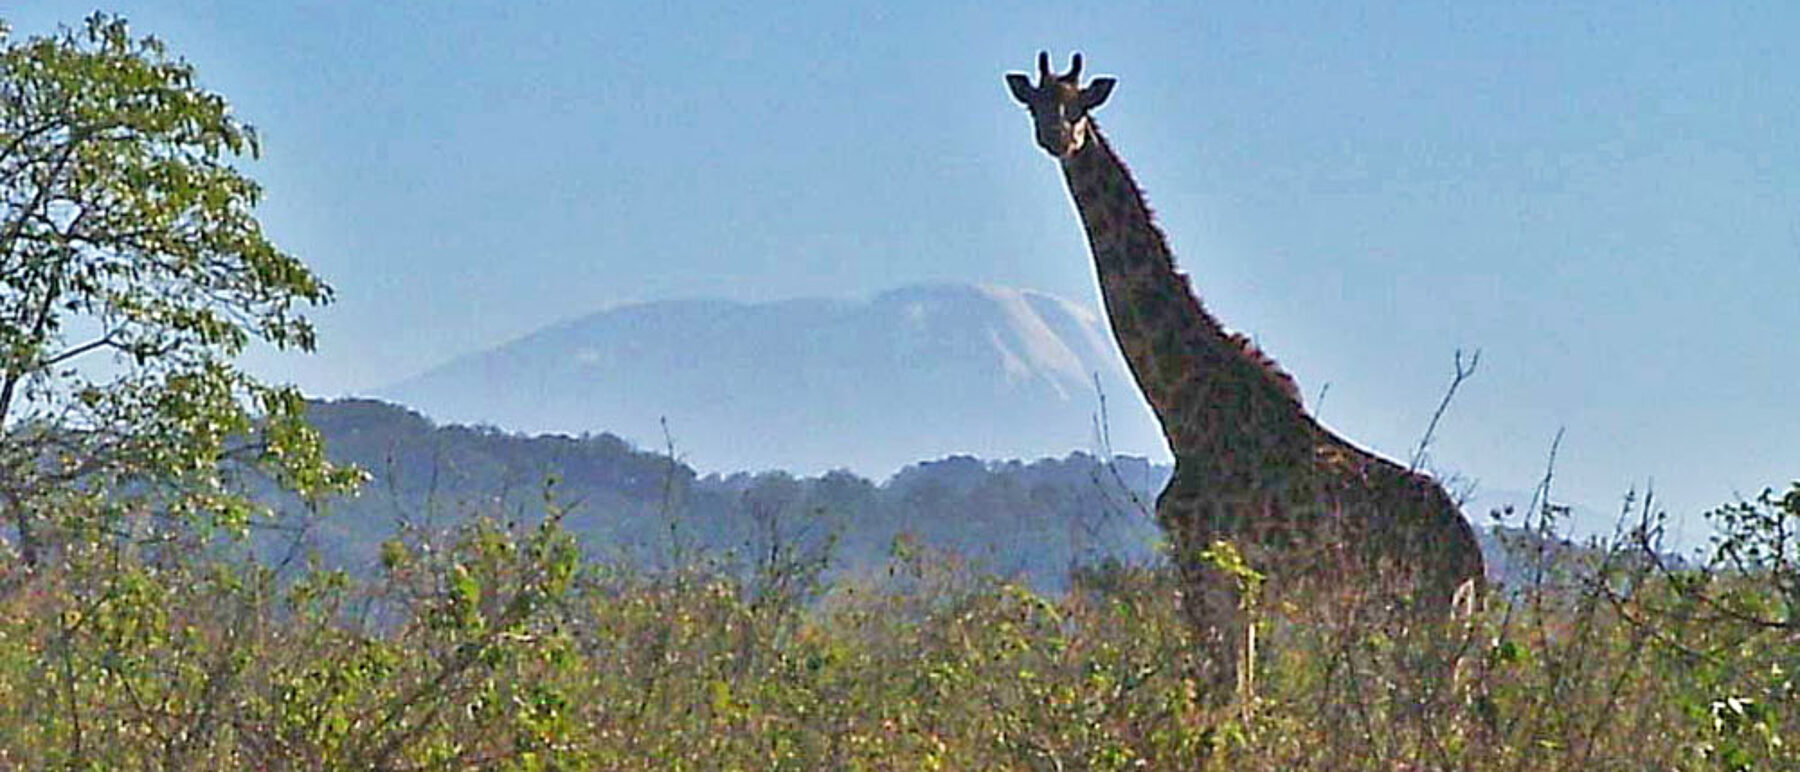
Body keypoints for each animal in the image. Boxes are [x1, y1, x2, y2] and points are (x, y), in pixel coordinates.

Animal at [1006, 52, 1485, 700]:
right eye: (1037, 104)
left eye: (1079, 105)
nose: (1057, 138)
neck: (1180, 404)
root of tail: (1473, 559)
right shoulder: (1239, 577)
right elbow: (1242, 692)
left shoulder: (1199, 555)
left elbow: (1219, 691)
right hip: (1443, 623)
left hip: (1420, 612)